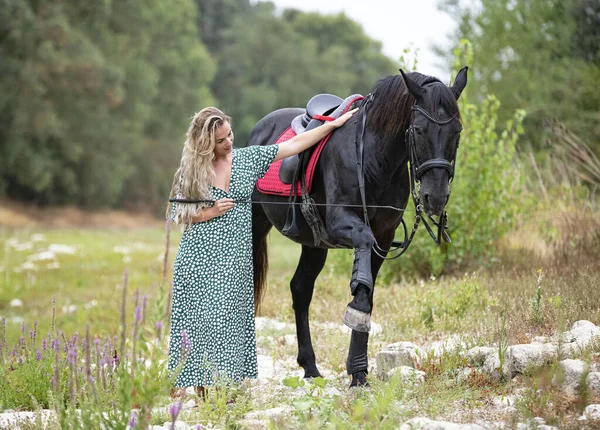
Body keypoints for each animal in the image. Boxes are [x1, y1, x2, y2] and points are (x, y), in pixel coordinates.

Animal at [248, 68, 468, 386]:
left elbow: (367, 292)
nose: (435, 196)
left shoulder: (384, 237)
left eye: (457, 132)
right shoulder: (343, 222)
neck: (374, 160)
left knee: (300, 289)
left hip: (314, 243)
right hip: (255, 225)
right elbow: (361, 283)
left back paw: (310, 367)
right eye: (417, 130)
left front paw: (359, 372)